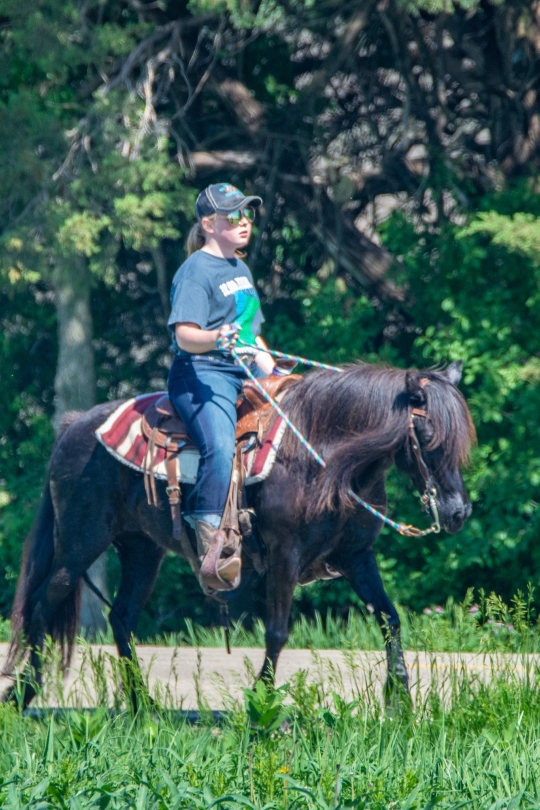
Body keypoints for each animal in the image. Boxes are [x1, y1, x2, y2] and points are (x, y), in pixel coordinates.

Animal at [4, 360, 475, 708]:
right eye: (427, 434)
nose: (457, 512)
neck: (323, 457)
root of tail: (74, 426)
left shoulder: (357, 557)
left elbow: (389, 618)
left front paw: (400, 700)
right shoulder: (285, 555)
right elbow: (278, 631)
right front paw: (260, 704)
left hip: (141, 549)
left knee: (121, 618)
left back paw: (142, 705)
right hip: (79, 543)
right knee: (43, 605)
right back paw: (24, 693)